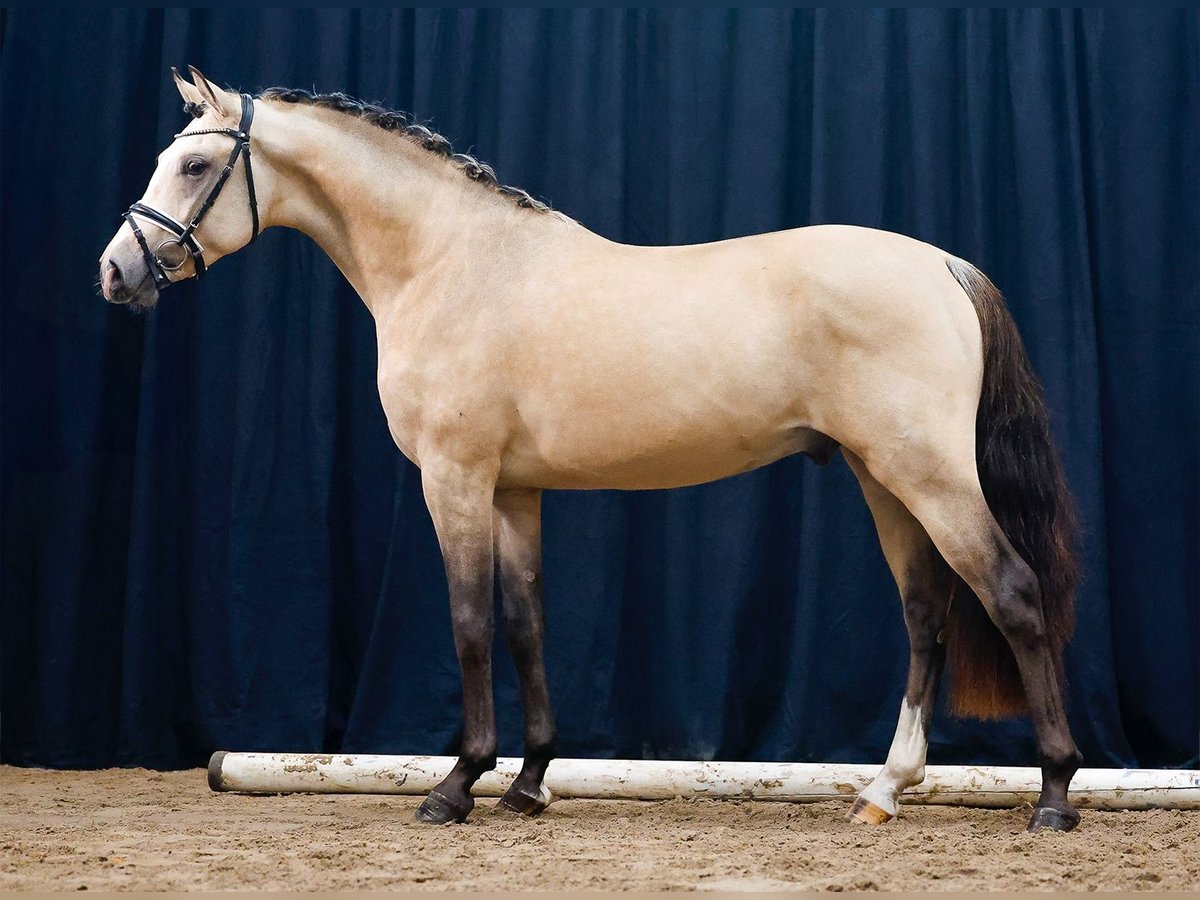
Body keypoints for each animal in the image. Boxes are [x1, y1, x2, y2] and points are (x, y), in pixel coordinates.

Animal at [98, 66, 1084, 835]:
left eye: (194, 163)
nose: (115, 271)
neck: (451, 263)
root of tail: (944, 265)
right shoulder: (515, 491)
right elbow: (527, 624)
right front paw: (529, 783)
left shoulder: (456, 479)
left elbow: (468, 624)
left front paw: (456, 787)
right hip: (883, 478)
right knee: (926, 615)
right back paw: (883, 791)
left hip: (928, 475)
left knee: (1011, 593)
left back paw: (1054, 795)